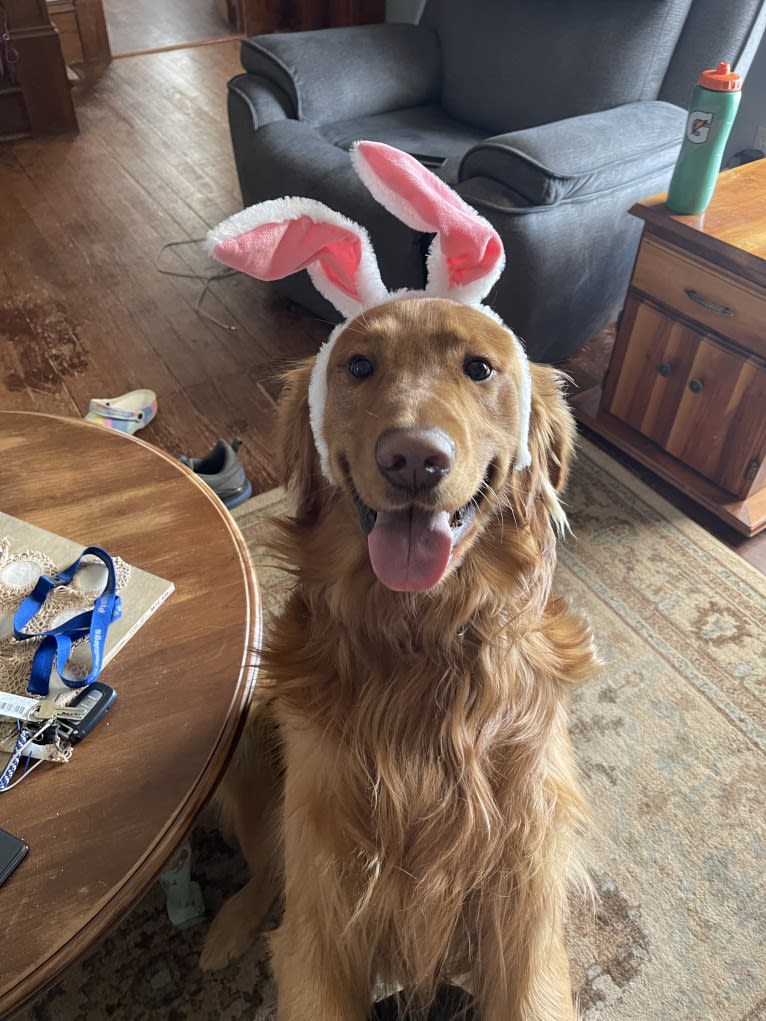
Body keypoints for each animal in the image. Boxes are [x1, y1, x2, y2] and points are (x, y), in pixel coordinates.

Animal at [202, 141, 600, 1021]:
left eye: (480, 368)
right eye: (357, 365)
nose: (414, 458)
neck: (424, 646)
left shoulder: (524, 917)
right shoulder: (325, 922)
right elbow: (302, 923)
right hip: (248, 751)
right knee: (266, 872)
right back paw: (231, 922)